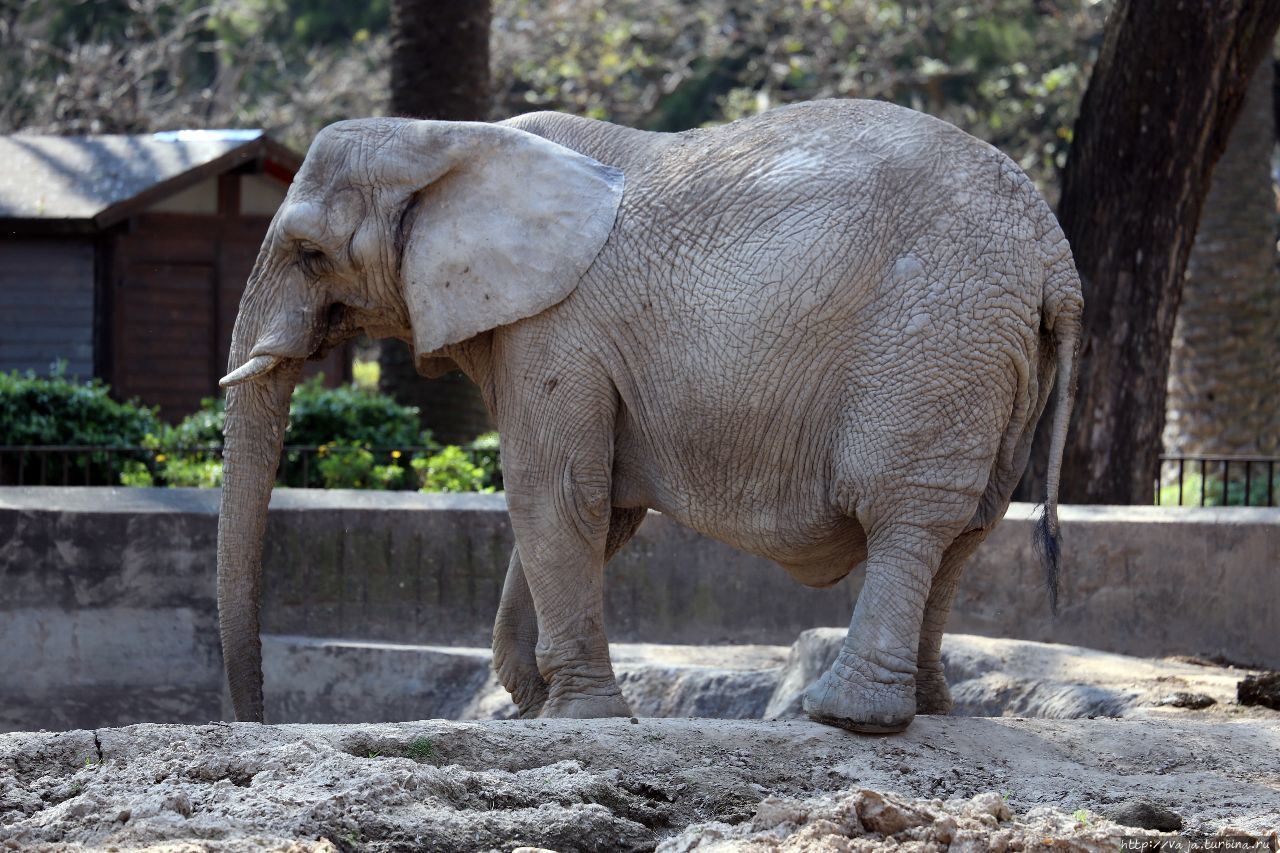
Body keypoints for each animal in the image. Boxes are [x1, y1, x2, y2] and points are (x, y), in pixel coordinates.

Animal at [217, 96, 1080, 727]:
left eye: (310, 252)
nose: (257, 720)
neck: (448, 138)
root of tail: (1055, 255)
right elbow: (596, 509)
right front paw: (532, 706)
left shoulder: (556, 324)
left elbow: (555, 492)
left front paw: (576, 717)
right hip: (997, 359)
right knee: (968, 525)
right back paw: (930, 709)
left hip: (932, 346)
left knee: (908, 516)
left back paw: (841, 716)